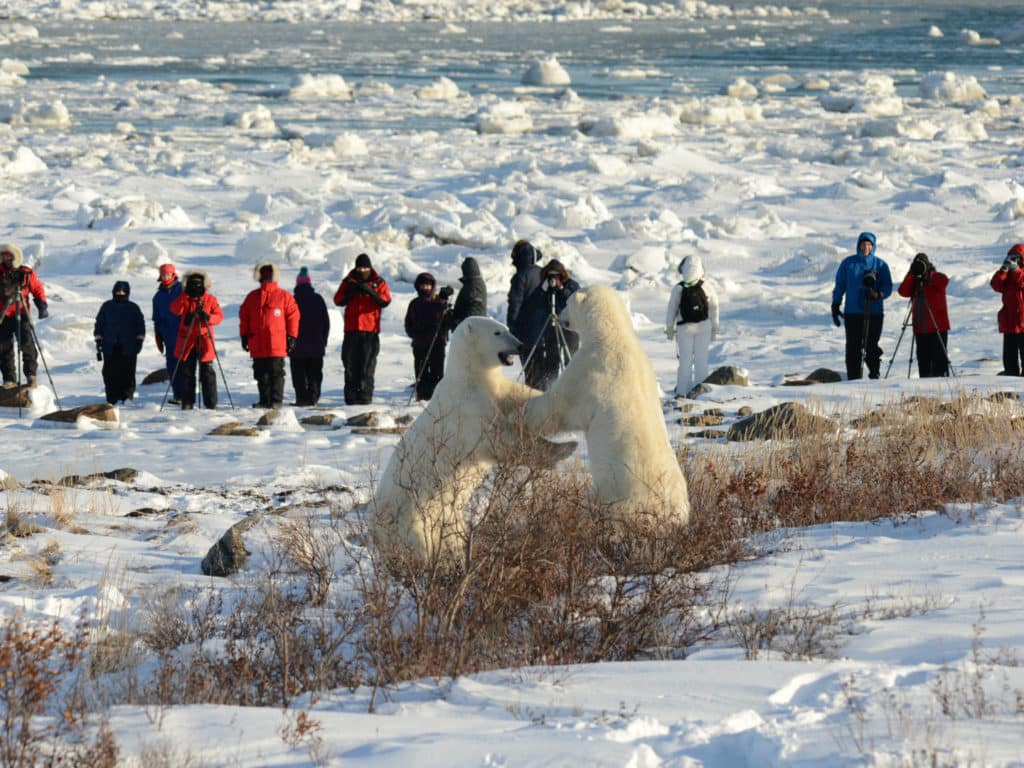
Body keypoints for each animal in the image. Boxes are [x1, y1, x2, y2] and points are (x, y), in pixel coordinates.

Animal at [371, 316, 576, 565]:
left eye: (506, 328)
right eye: (497, 332)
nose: (520, 345)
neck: (468, 375)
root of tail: (374, 528)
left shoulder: (495, 390)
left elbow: (519, 395)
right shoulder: (469, 407)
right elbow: (500, 439)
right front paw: (564, 449)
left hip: (445, 516)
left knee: (451, 537)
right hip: (409, 518)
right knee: (418, 545)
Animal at [523, 285, 690, 528]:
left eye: (567, 302)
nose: (559, 318)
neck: (612, 333)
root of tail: (672, 514)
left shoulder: (590, 369)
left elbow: (560, 406)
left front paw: (526, 407)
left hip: (622, 497)